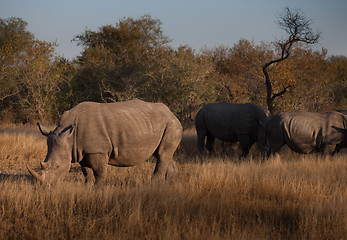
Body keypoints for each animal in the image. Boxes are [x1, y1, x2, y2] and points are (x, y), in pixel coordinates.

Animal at [27, 98, 182, 185]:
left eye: (58, 167)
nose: (45, 187)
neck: (69, 137)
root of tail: (171, 113)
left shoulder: (97, 150)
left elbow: (99, 173)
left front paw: (98, 190)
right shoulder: (81, 151)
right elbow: (87, 173)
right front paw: (87, 187)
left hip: (172, 125)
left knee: (162, 155)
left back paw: (153, 186)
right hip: (163, 125)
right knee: (164, 155)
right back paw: (168, 186)